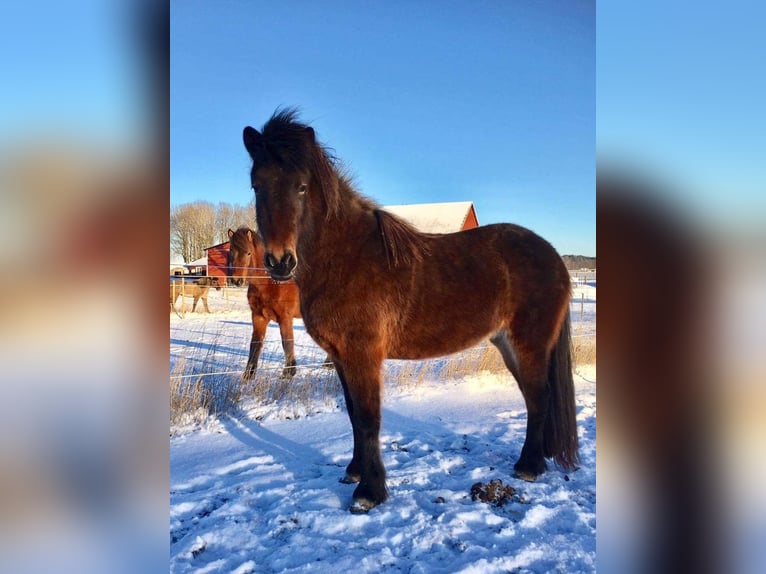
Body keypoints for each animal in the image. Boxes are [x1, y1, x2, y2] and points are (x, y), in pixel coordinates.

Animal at [226, 227, 304, 380]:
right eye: (231, 251)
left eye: (248, 253)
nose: (236, 280)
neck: (270, 283)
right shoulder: (258, 317)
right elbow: (255, 343)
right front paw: (249, 374)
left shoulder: (285, 319)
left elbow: (287, 343)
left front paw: (289, 372)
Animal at [243, 110, 580, 516]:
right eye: (257, 185)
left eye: (302, 187)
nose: (279, 262)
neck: (345, 258)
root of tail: (553, 256)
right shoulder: (341, 358)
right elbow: (353, 415)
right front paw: (354, 472)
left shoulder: (363, 356)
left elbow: (369, 418)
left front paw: (370, 492)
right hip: (508, 345)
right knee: (534, 398)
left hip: (529, 344)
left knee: (539, 396)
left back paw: (529, 466)